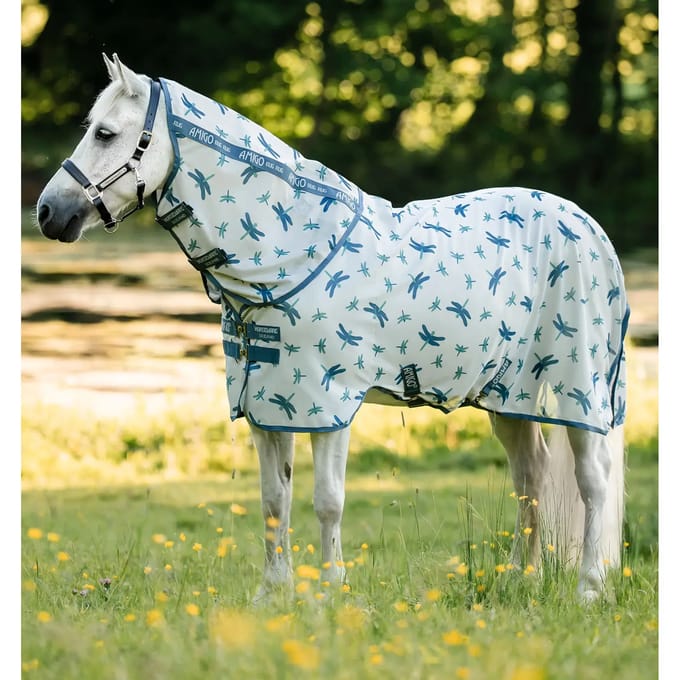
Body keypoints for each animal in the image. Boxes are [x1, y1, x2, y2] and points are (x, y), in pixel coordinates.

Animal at [36, 54, 629, 603]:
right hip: (509, 396)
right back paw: (521, 579)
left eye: (106, 133)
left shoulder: (329, 404)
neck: (288, 256)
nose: (47, 213)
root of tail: (589, 227)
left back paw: (589, 588)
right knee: (531, 475)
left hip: (578, 389)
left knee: (592, 480)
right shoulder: (267, 404)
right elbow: (274, 499)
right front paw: (273, 594)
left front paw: (328, 594)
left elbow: (328, 501)